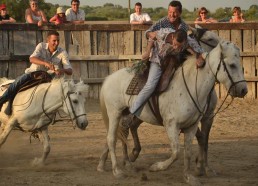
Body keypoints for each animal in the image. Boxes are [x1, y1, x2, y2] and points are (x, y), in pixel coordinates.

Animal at [98, 40, 247, 185]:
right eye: (232, 65)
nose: (243, 90)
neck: (191, 86)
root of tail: (109, 78)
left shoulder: (193, 126)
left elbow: (189, 151)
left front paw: (189, 177)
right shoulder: (171, 125)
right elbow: (176, 152)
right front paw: (157, 167)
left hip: (126, 115)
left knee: (120, 134)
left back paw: (110, 164)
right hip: (115, 113)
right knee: (112, 138)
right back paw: (117, 170)